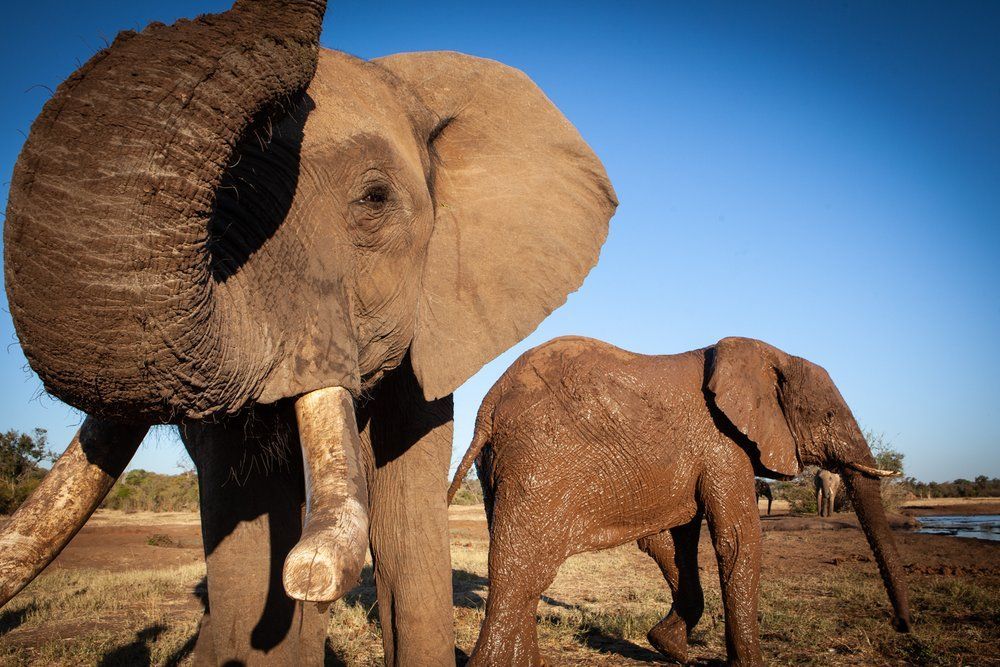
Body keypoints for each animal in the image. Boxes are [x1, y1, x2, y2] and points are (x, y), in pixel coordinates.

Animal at [448, 336, 910, 666]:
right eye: (828, 416)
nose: (903, 626)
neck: (770, 354)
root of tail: (487, 408)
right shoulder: (724, 445)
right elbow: (737, 540)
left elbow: (672, 543)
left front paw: (668, 647)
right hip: (542, 463)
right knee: (523, 570)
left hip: (501, 467)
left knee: (524, 573)